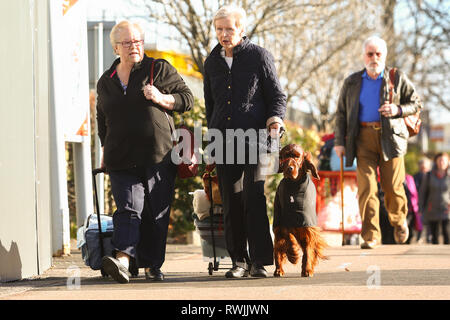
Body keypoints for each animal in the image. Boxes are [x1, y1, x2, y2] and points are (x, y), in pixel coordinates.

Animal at [272, 144, 328, 276]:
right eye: (285, 156)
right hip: (277, 223)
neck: (295, 186)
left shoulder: (307, 225)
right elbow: (289, 238)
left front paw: (307, 269)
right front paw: (294, 254)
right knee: (278, 247)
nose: (289, 168)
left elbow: (308, 249)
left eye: (297, 157)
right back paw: (279, 269)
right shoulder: (285, 222)